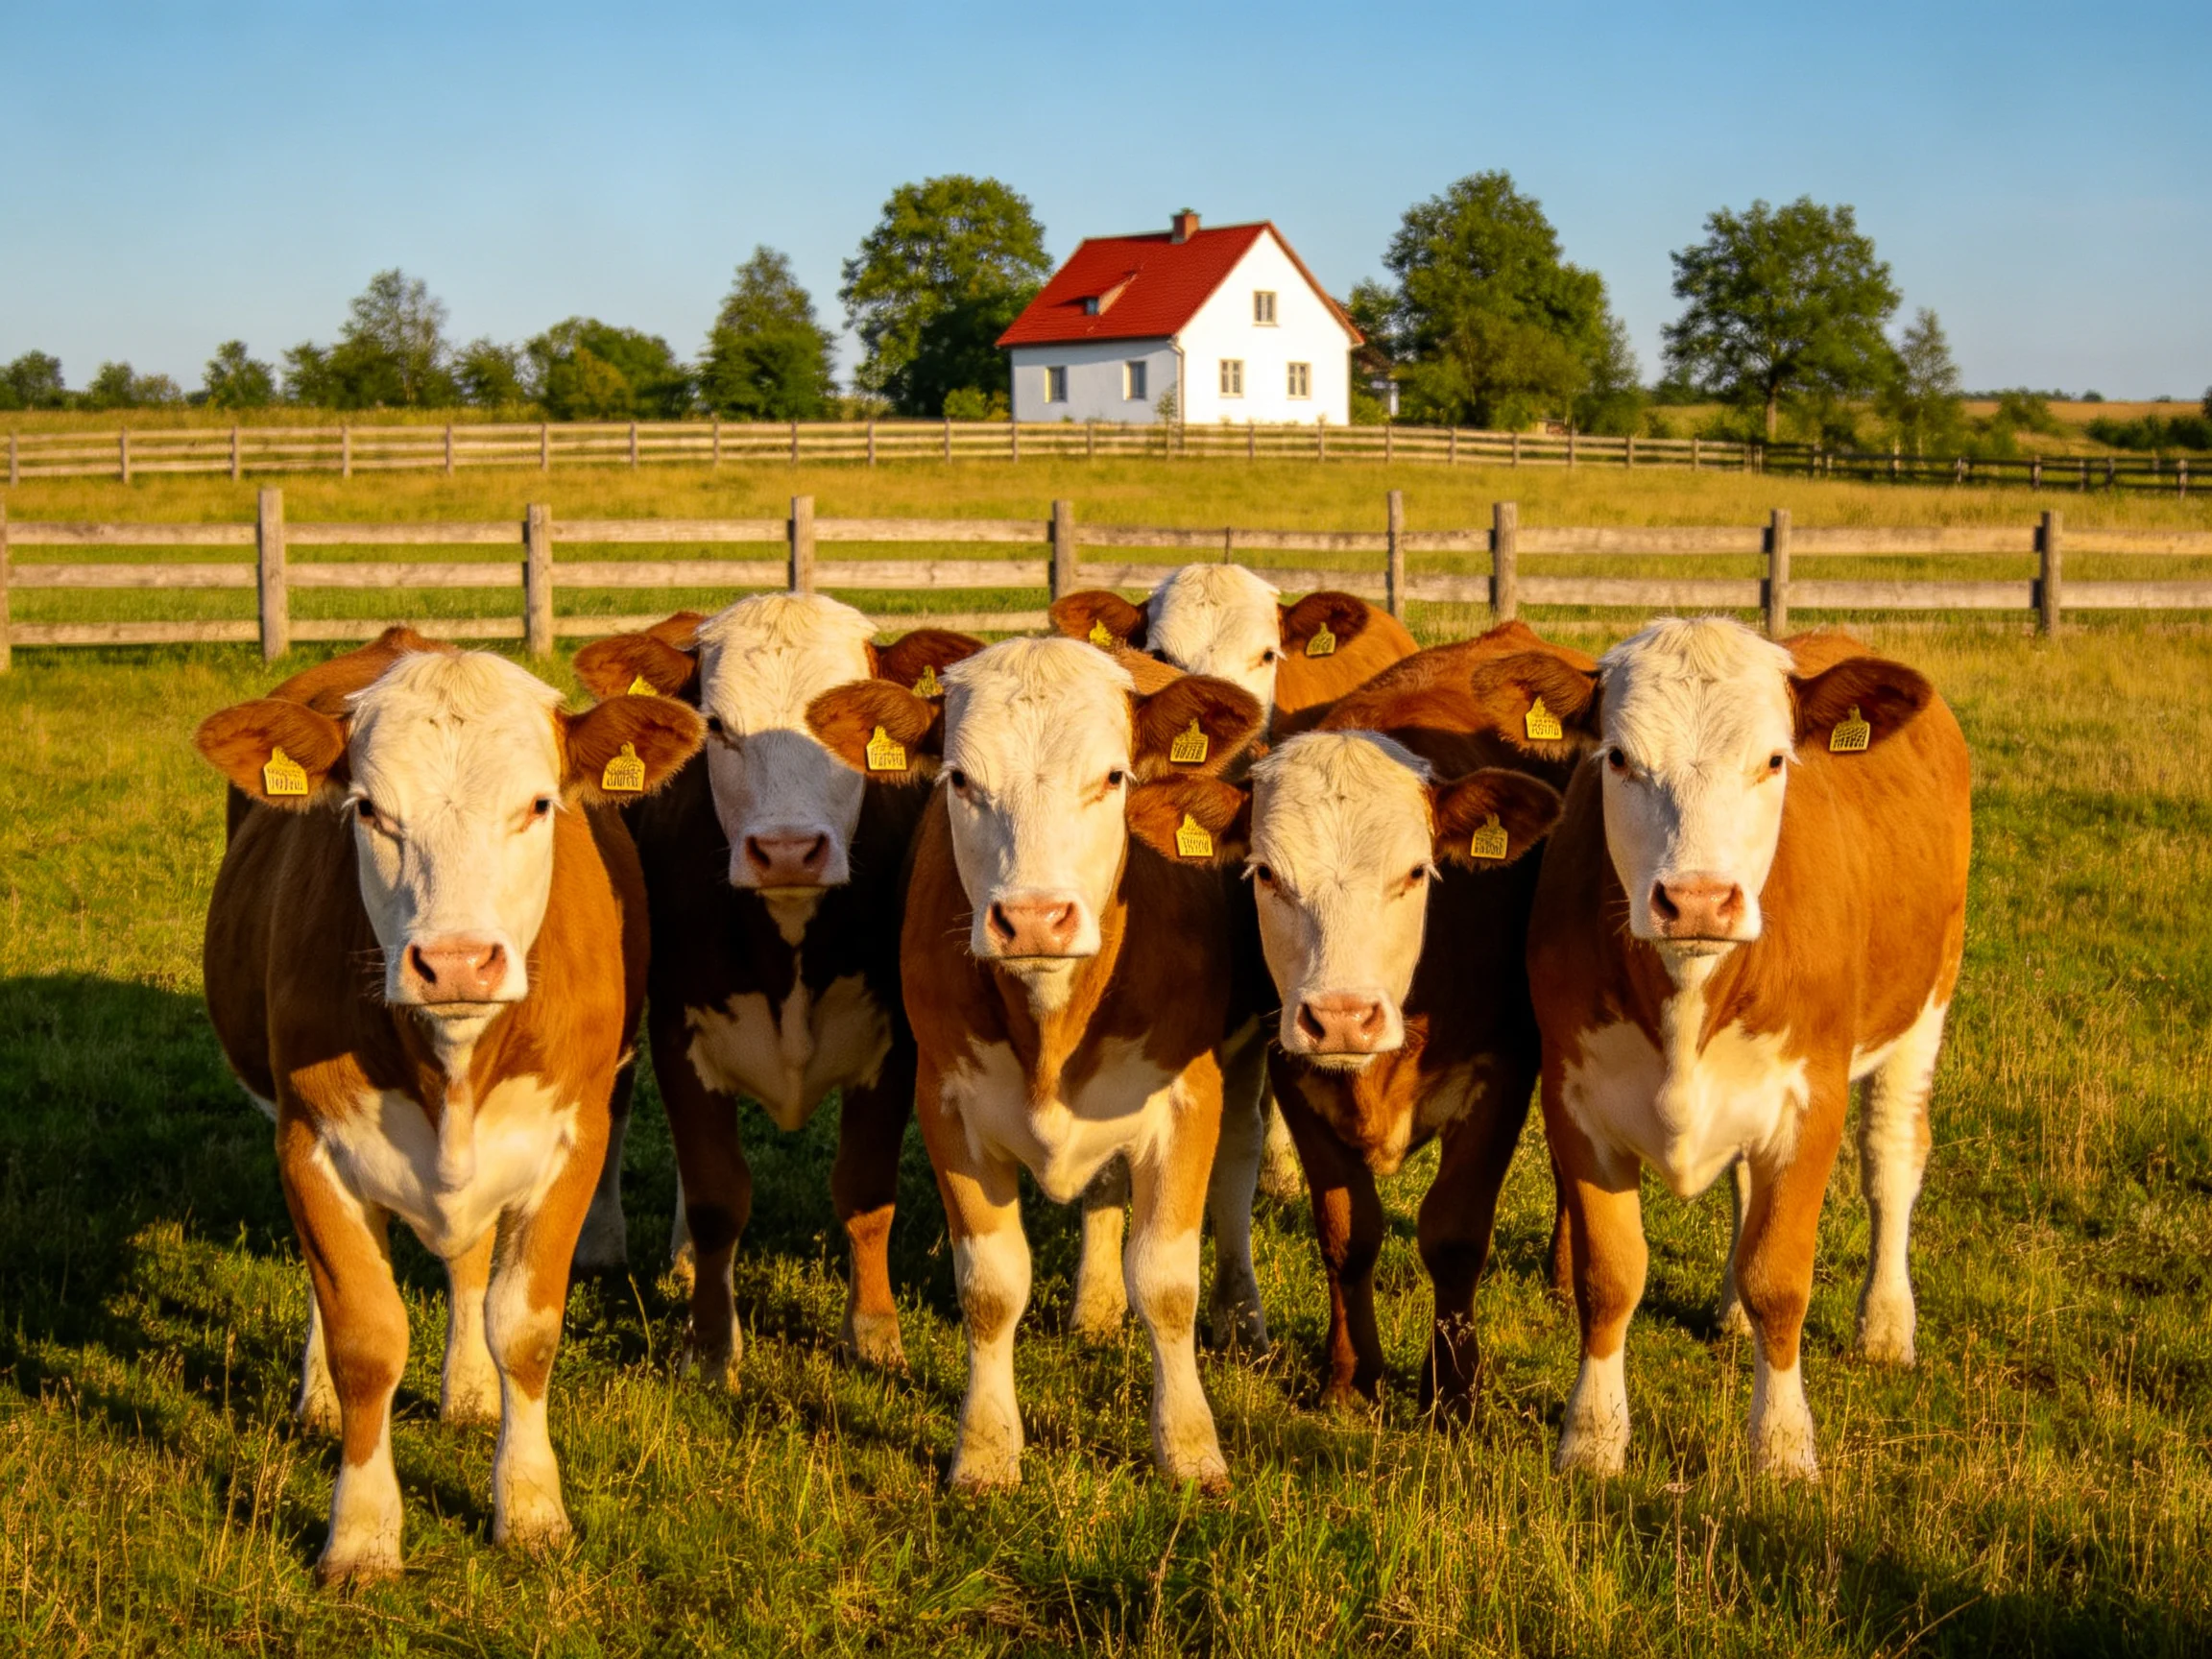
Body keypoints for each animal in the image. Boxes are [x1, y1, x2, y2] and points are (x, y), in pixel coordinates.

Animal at [196, 637, 700, 1582]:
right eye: (367, 809)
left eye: (537, 804)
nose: (457, 961)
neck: (454, 1068)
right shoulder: (309, 1140)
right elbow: (364, 1334)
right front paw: (360, 1533)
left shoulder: (571, 1139)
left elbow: (525, 1329)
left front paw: (531, 1508)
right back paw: (320, 1397)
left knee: (469, 1263)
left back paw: (467, 1388)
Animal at [570, 595, 982, 1382]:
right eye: (717, 728)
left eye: (841, 729)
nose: (787, 850)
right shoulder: (679, 1033)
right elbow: (715, 1194)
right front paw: (708, 1345)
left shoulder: (894, 1045)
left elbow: (864, 1192)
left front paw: (874, 1332)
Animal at [807, 637, 1264, 1490]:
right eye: (959, 779)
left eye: (1113, 777)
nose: (1032, 919)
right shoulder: (948, 1106)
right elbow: (991, 1287)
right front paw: (987, 1451)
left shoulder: (1188, 1099)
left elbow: (1167, 1283)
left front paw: (1190, 1446)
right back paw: (1095, 1306)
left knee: (1239, 1166)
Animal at [1464, 617, 1971, 1479]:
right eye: (1619, 758)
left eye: (1773, 760)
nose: (1697, 899)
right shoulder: (1576, 1100)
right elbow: (1611, 1275)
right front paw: (1592, 1437)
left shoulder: (1811, 1103)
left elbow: (1781, 1277)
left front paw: (1783, 1446)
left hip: (1926, 1004)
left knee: (1892, 1160)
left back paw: (1884, 1323)